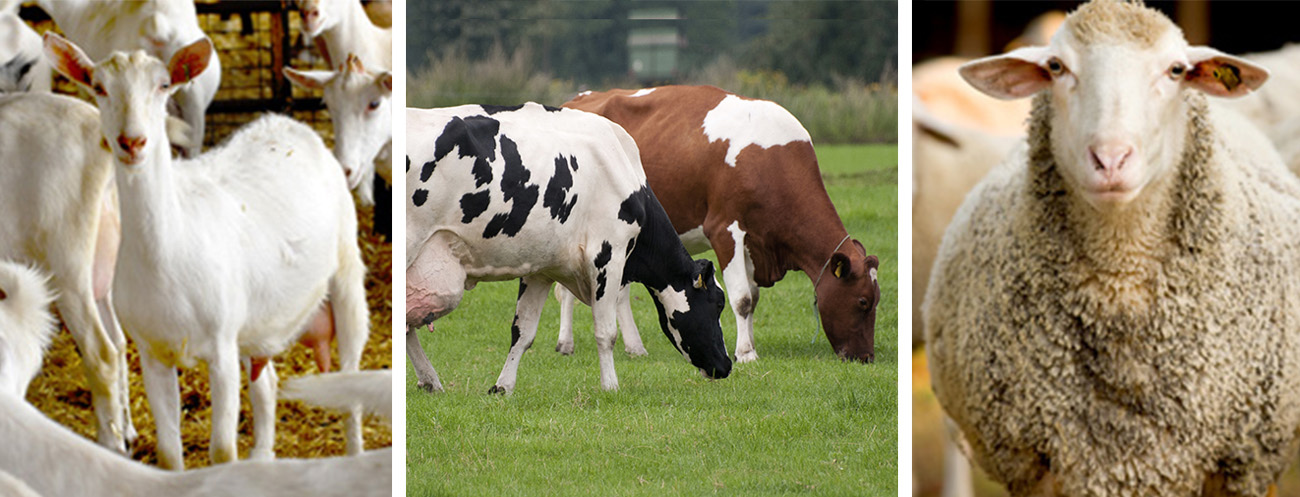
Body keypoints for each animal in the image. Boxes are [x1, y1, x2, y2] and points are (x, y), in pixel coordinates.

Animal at [44, 33, 371, 468]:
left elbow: (222, 451)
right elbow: (169, 455)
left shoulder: (220, 348)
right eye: (99, 87)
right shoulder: (153, 353)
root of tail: (289, 123)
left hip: (347, 271)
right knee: (266, 380)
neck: (169, 248)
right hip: (254, 322)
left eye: (164, 85)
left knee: (351, 379)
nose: (132, 142)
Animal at [405, 102, 733, 392]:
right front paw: (610, 386)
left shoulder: (540, 270)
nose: (726, 365)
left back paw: (430, 380)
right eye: (718, 303)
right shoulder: (608, 256)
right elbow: (606, 332)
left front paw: (503, 386)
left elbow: (522, 332)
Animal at [561, 87, 883, 364]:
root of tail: (578, 99)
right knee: (569, 290)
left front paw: (747, 344)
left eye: (878, 301)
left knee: (619, 292)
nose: (866, 357)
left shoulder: (756, 240)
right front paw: (746, 353)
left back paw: (635, 347)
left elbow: (753, 297)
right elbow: (741, 298)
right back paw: (566, 344)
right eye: (863, 302)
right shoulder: (725, 230)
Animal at [920, 1, 1300, 494]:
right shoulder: (1036, 463)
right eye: (1056, 67)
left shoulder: (1240, 465)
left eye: (1176, 70)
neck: (1121, 277)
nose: (1111, 158)